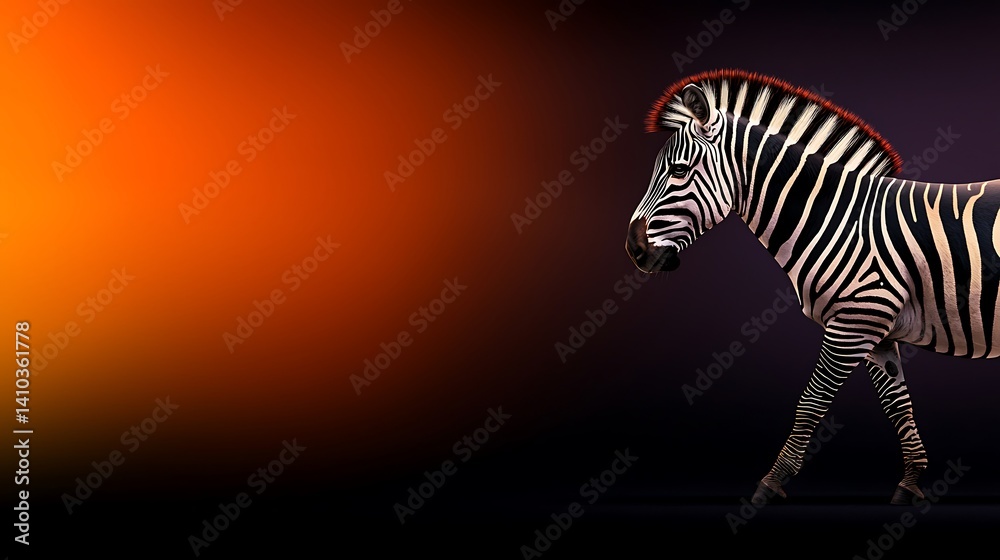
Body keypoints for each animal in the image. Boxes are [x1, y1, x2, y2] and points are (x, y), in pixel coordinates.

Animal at [625, 68, 1000, 505]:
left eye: (680, 171)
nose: (634, 250)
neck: (837, 220)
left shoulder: (855, 322)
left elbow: (812, 400)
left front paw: (771, 482)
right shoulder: (877, 331)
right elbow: (896, 404)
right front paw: (910, 483)